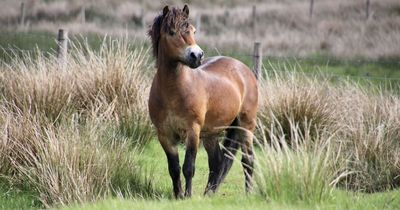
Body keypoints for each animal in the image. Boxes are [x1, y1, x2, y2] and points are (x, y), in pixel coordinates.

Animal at [148, 4, 258, 199]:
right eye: (171, 32)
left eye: (193, 30)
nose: (197, 55)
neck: (173, 92)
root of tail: (243, 69)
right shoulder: (164, 134)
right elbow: (174, 168)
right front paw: (178, 196)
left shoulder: (193, 131)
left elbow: (188, 167)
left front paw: (188, 196)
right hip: (211, 134)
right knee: (217, 162)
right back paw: (209, 193)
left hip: (246, 126)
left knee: (248, 160)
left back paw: (248, 194)